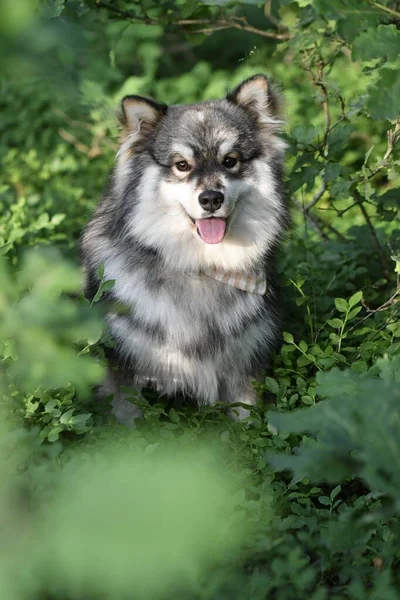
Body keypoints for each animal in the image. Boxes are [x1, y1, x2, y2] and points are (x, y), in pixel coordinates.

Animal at [80, 74, 288, 426]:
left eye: (230, 161)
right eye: (181, 165)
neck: (201, 268)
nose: (211, 199)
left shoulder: (244, 368)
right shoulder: (126, 371)